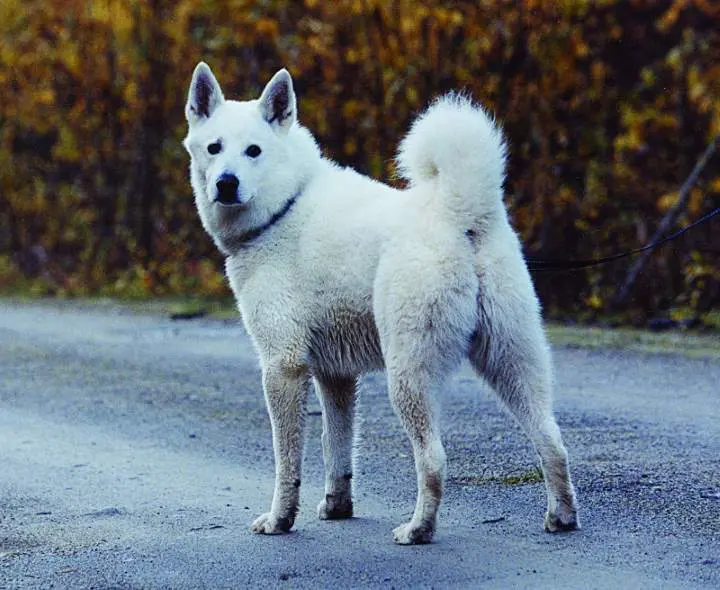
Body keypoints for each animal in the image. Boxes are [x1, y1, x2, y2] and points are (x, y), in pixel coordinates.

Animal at [183, 63, 576, 544]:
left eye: (253, 151)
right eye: (214, 148)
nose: (226, 183)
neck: (284, 206)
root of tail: (459, 213)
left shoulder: (283, 367)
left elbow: (287, 462)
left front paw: (280, 519)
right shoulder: (335, 376)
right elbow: (336, 449)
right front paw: (337, 506)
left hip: (407, 374)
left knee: (433, 459)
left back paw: (418, 528)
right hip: (512, 361)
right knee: (552, 441)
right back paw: (562, 516)